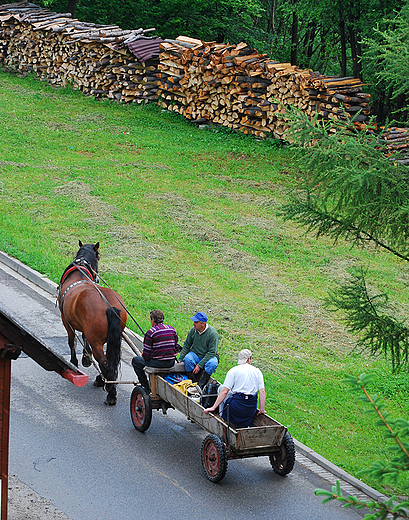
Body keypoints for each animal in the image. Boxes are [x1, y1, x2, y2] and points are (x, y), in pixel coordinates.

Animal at [57, 241, 126, 406]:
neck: (79, 272)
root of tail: (110, 307)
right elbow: (83, 337)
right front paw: (86, 357)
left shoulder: (65, 320)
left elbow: (72, 342)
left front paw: (74, 362)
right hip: (112, 339)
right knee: (110, 361)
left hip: (96, 341)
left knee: (104, 362)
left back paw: (109, 391)